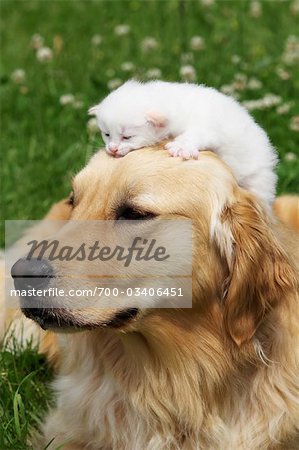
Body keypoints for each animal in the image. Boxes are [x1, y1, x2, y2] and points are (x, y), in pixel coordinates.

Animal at [89, 80, 278, 203]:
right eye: (106, 134)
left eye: (127, 137)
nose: (112, 149)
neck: (169, 101)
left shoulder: (206, 126)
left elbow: (194, 135)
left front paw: (181, 147)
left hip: (259, 181)